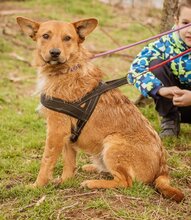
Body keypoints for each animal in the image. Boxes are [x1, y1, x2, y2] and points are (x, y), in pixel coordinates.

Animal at [17, 16, 184, 202]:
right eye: (45, 36)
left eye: (67, 38)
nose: (55, 52)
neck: (66, 69)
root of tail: (162, 168)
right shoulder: (67, 135)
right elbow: (69, 163)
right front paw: (65, 181)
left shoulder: (56, 131)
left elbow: (46, 162)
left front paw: (37, 186)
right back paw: (93, 168)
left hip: (112, 143)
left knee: (125, 182)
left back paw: (92, 183)